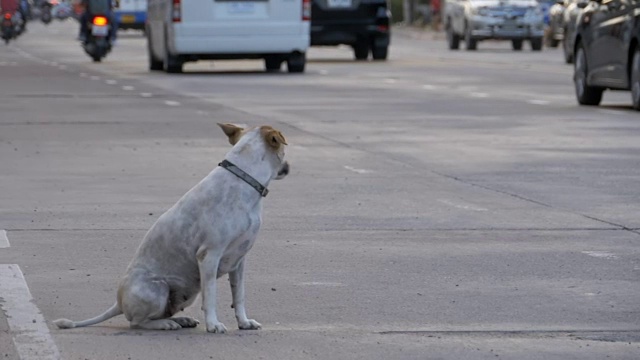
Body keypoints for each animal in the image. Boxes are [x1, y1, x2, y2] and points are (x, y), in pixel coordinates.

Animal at [55, 123, 290, 332]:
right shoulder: (209, 256)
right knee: (137, 322)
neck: (244, 178)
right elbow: (211, 297)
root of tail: (119, 302)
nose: (288, 167)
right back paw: (164, 324)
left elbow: (239, 295)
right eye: (283, 149)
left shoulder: (239, 261)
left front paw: (244, 322)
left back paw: (181, 320)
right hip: (157, 289)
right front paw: (213, 324)